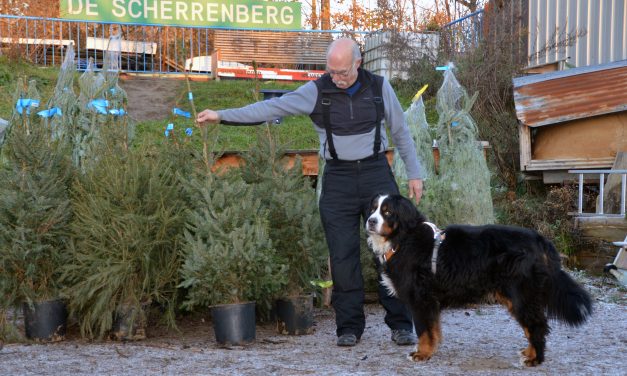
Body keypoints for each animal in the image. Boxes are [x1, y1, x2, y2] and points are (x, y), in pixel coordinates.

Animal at [366, 195, 592, 366]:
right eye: (373, 208)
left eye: (387, 212)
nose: (370, 221)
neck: (403, 238)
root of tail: (540, 239)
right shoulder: (431, 301)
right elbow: (434, 329)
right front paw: (431, 349)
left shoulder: (421, 299)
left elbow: (423, 330)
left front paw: (422, 353)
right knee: (531, 326)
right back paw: (529, 353)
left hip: (521, 294)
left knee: (536, 325)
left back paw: (536, 359)